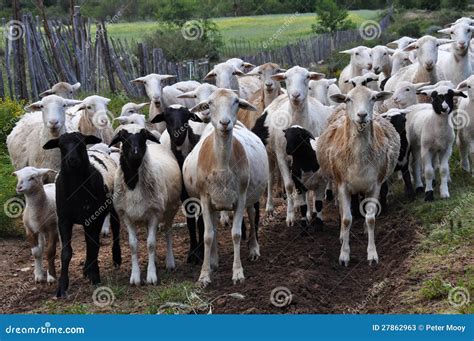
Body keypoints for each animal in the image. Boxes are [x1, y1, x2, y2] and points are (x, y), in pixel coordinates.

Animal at [109, 125, 181, 284]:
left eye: (143, 137)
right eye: (123, 138)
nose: (135, 153)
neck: (133, 184)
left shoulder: (155, 214)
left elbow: (151, 244)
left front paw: (151, 276)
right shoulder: (127, 216)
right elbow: (133, 245)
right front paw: (135, 276)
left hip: (169, 210)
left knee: (168, 233)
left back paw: (170, 262)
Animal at [183, 87, 268, 284]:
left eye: (236, 101)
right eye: (210, 103)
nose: (224, 123)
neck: (221, 164)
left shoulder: (240, 198)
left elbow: (236, 234)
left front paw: (237, 273)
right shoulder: (205, 199)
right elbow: (208, 235)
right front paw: (204, 274)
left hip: (250, 195)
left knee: (252, 215)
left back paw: (254, 249)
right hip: (214, 202)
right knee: (213, 227)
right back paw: (214, 260)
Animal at [254, 66, 332, 226]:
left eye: (307, 77)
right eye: (286, 77)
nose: (296, 95)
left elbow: (307, 187)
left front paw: (308, 214)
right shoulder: (281, 156)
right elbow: (289, 185)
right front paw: (290, 217)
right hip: (269, 154)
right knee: (270, 178)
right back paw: (270, 207)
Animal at [314, 85, 400, 266]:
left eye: (373, 98)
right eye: (348, 99)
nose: (362, 115)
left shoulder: (375, 186)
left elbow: (371, 219)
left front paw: (372, 254)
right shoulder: (342, 186)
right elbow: (347, 219)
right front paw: (344, 255)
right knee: (342, 211)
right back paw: (342, 235)